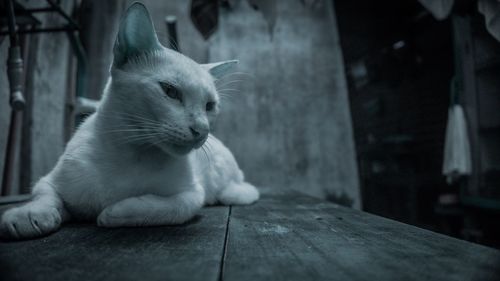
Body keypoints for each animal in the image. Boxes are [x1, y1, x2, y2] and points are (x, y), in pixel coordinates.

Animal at [0, 2, 258, 238]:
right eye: (170, 91)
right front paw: (28, 215)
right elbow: (44, 194)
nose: (201, 129)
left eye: (209, 106)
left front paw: (114, 211)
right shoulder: (50, 180)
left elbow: (167, 207)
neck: (132, 153)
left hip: (225, 182)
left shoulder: (192, 193)